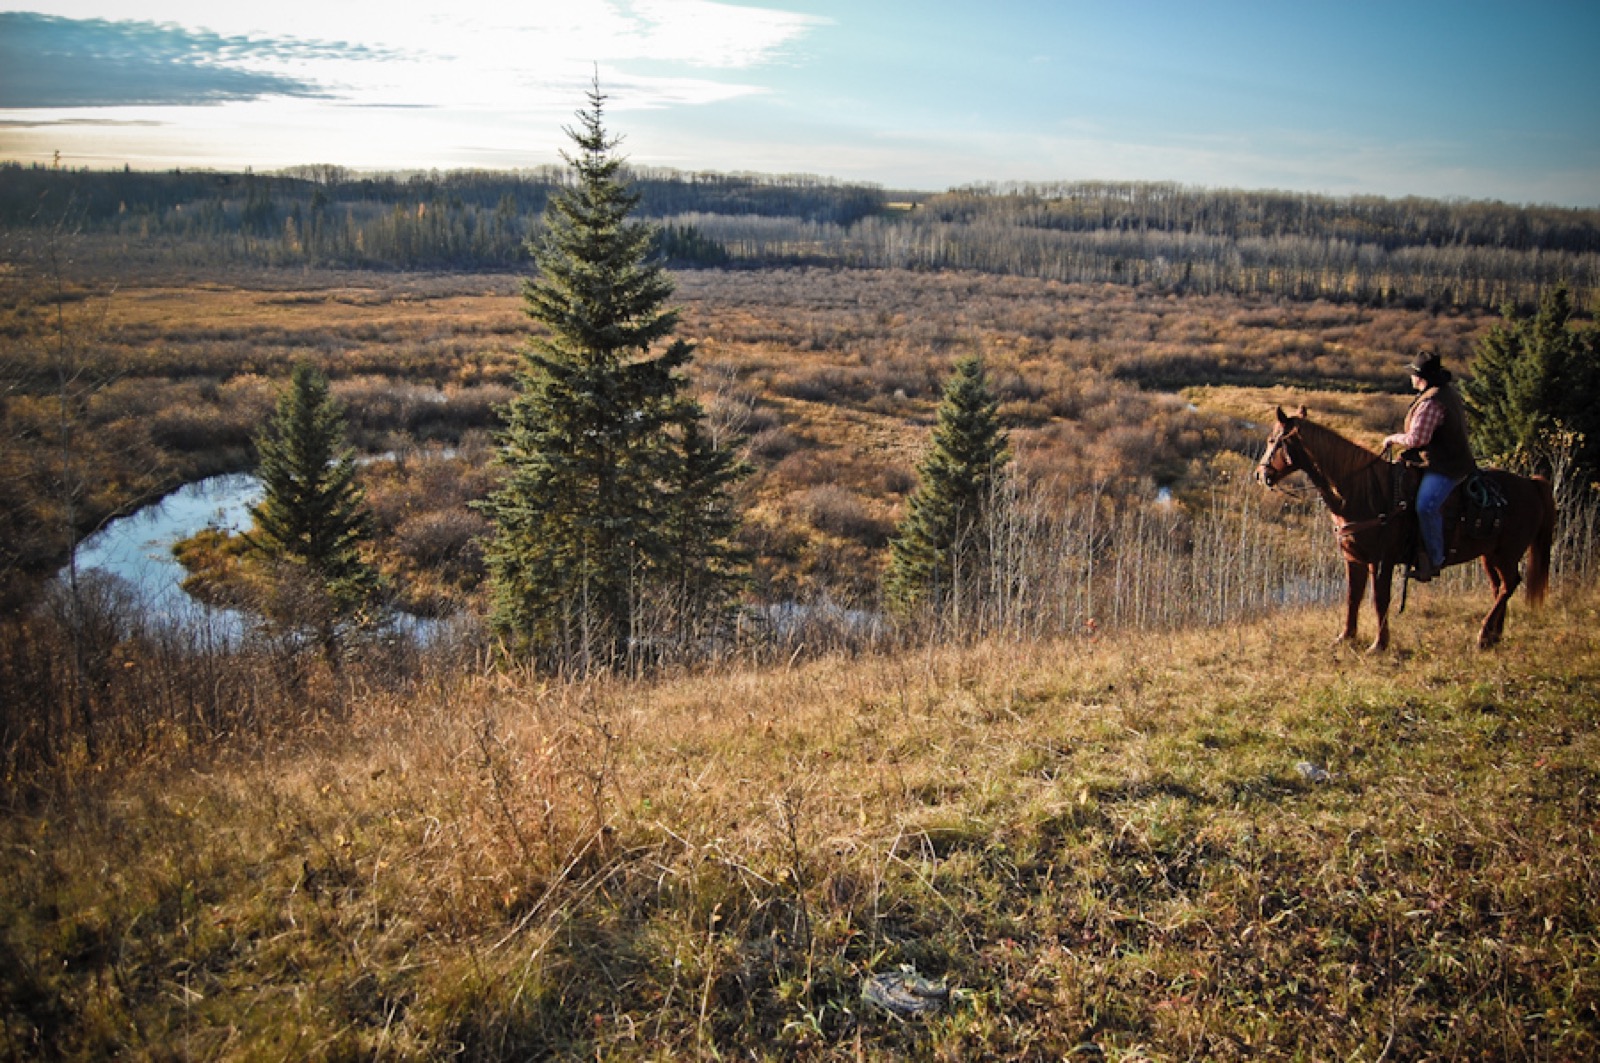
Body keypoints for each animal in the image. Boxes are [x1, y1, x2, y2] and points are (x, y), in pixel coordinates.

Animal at [1254, 405, 1555, 646]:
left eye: (1272, 440)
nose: (1259, 474)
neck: (1366, 492)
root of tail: (1532, 484)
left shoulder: (1381, 560)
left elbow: (1380, 600)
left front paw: (1379, 644)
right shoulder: (1354, 558)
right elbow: (1353, 597)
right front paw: (1346, 637)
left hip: (1507, 553)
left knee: (1510, 584)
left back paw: (1483, 634)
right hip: (1489, 555)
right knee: (1499, 587)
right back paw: (1494, 635)